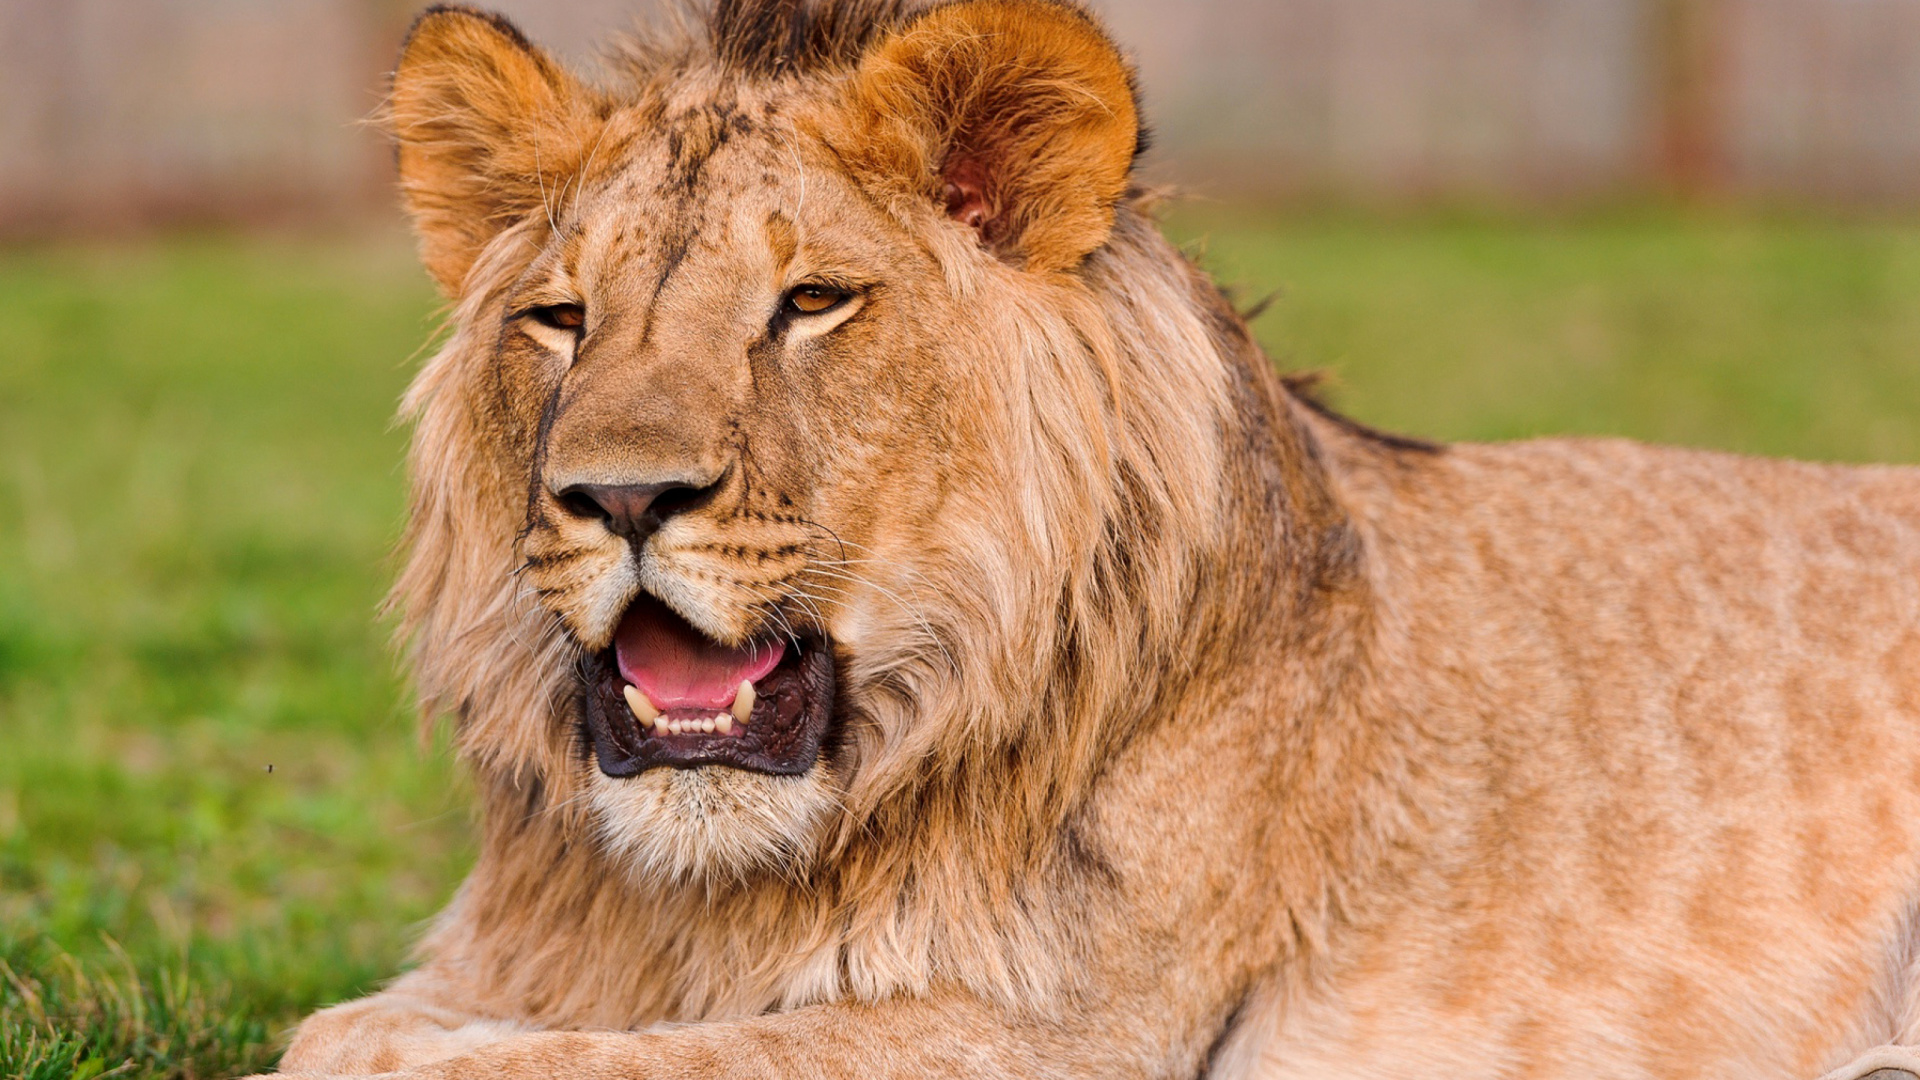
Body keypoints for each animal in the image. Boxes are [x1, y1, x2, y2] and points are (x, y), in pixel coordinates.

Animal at [274, 2, 1920, 1076]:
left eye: (811, 303)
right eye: (561, 317)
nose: (619, 497)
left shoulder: (1065, 1035)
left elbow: (513, 1060)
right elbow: (345, 1030)